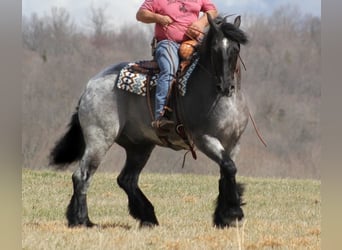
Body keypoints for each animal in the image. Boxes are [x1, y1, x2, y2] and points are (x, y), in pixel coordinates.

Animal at [49, 14, 248, 229]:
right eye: (215, 49)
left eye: (235, 49)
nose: (226, 86)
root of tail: (90, 86)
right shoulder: (205, 139)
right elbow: (229, 168)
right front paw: (234, 212)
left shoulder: (233, 142)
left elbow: (226, 172)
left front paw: (224, 217)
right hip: (99, 140)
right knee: (82, 176)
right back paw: (82, 220)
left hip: (139, 146)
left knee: (126, 179)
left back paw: (147, 216)